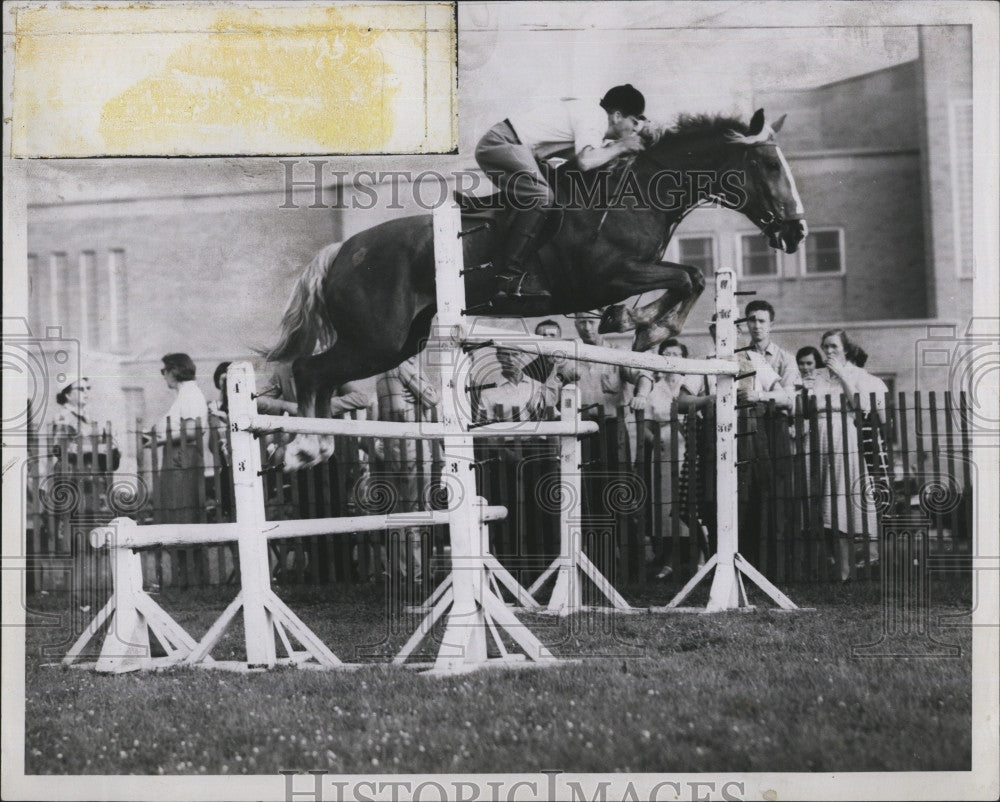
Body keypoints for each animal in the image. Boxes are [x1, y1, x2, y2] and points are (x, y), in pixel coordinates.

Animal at [264, 109, 804, 466]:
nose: (796, 232)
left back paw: (314, 443)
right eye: (768, 166)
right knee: (309, 370)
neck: (635, 194)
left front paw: (634, 322)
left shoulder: (627, 275)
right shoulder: (605, 277)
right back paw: (304, 446)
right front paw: (648, 328)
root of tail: (342, 251)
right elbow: (688, 276)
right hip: (377, 339)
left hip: (396, 344)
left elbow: (688, 278)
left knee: (322, 375)